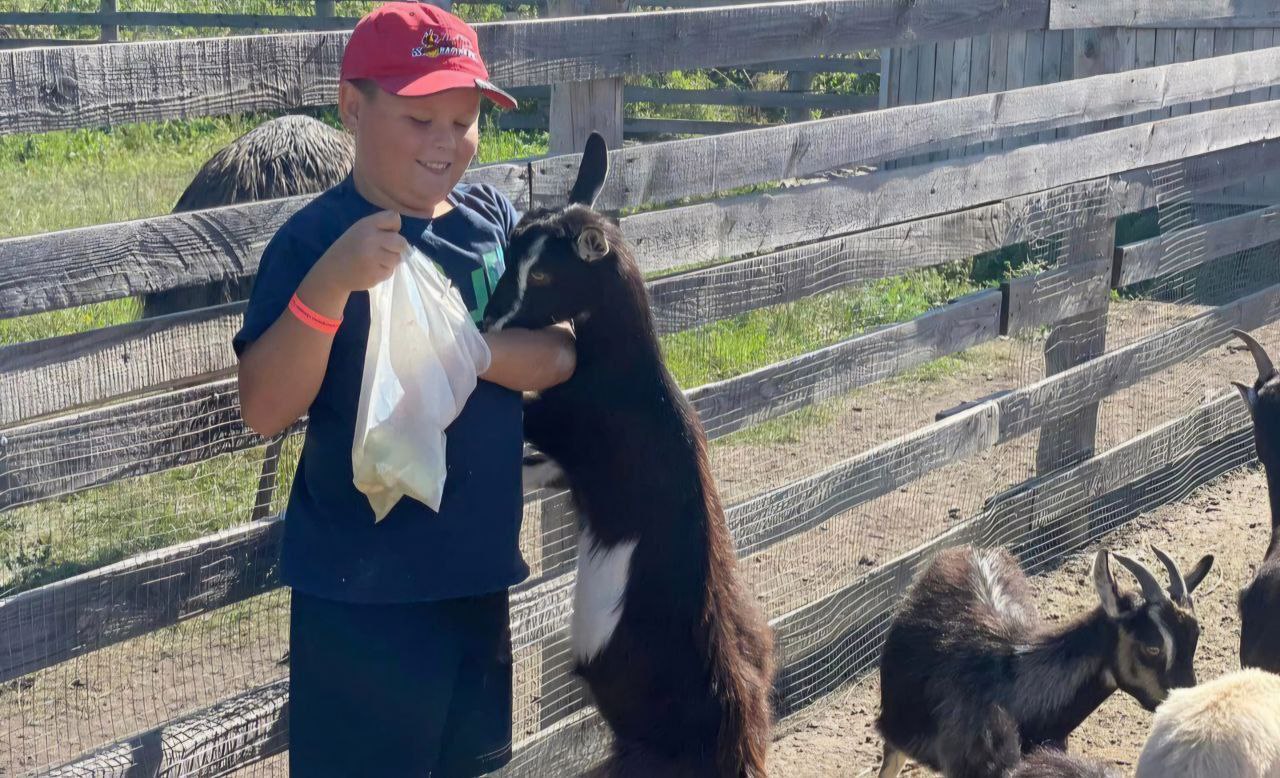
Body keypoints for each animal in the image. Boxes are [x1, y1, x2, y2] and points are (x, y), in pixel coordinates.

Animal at [481, 130, 773, 772]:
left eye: (544, 276)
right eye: (511, 251)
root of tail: (733, 730)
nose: (489, 321)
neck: (630, 383)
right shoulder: (561, 464)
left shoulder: (563, 426)